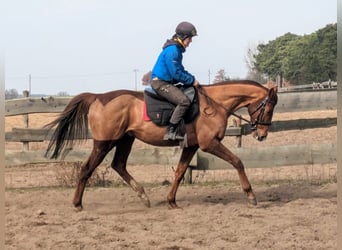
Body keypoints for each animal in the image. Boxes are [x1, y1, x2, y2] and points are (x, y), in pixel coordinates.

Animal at [45, 81, 278, 210]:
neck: (214, 104)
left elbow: (180, 172)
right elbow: (237, 162)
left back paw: (143, 196)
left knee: (118, 165)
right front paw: (251, 196)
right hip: (104, 143)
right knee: (87, 168)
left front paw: (171, 201)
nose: (262, 135)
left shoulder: (191, 146)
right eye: (268, 108)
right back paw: (77, 204)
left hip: (125, 140)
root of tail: (99, 97)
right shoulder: (209, 143)